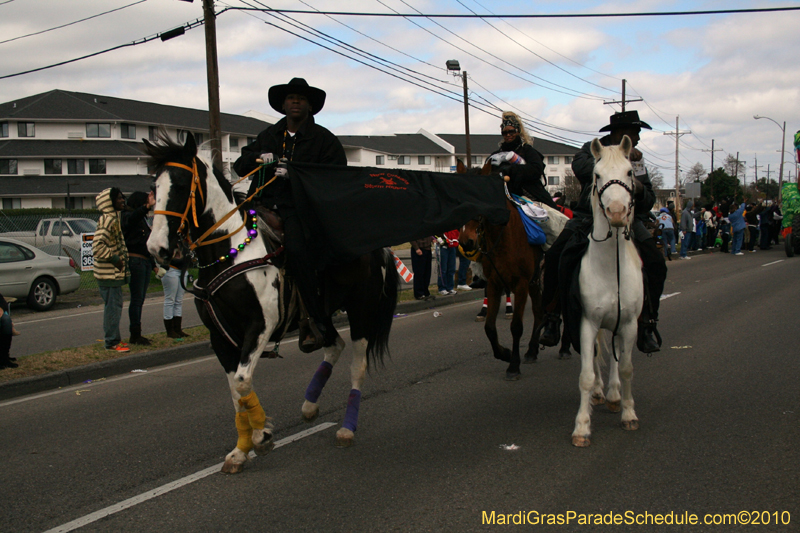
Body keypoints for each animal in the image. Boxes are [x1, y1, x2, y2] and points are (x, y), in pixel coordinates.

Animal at [145, 134, 400, 474]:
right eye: (154, 187)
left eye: (183, 185)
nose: (157, 248)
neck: (231, 250)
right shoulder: (219, 337)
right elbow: (236, 390)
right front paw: (243, 447)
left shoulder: (260, 326)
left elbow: (242, 383)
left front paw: (260, 436)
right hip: (320, 311)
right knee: (334, 345)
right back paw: (309, 406)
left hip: (361, 311)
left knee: (357, 365)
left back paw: (346, 428)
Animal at [456, 160, 544, 380]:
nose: (466, 242)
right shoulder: (495, 283)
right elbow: (489, 327)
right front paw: (504, 353)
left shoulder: (521, 284)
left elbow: (516, 327)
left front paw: (513, 365)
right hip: (535, 283)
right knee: (539, 313)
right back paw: (532, 350)